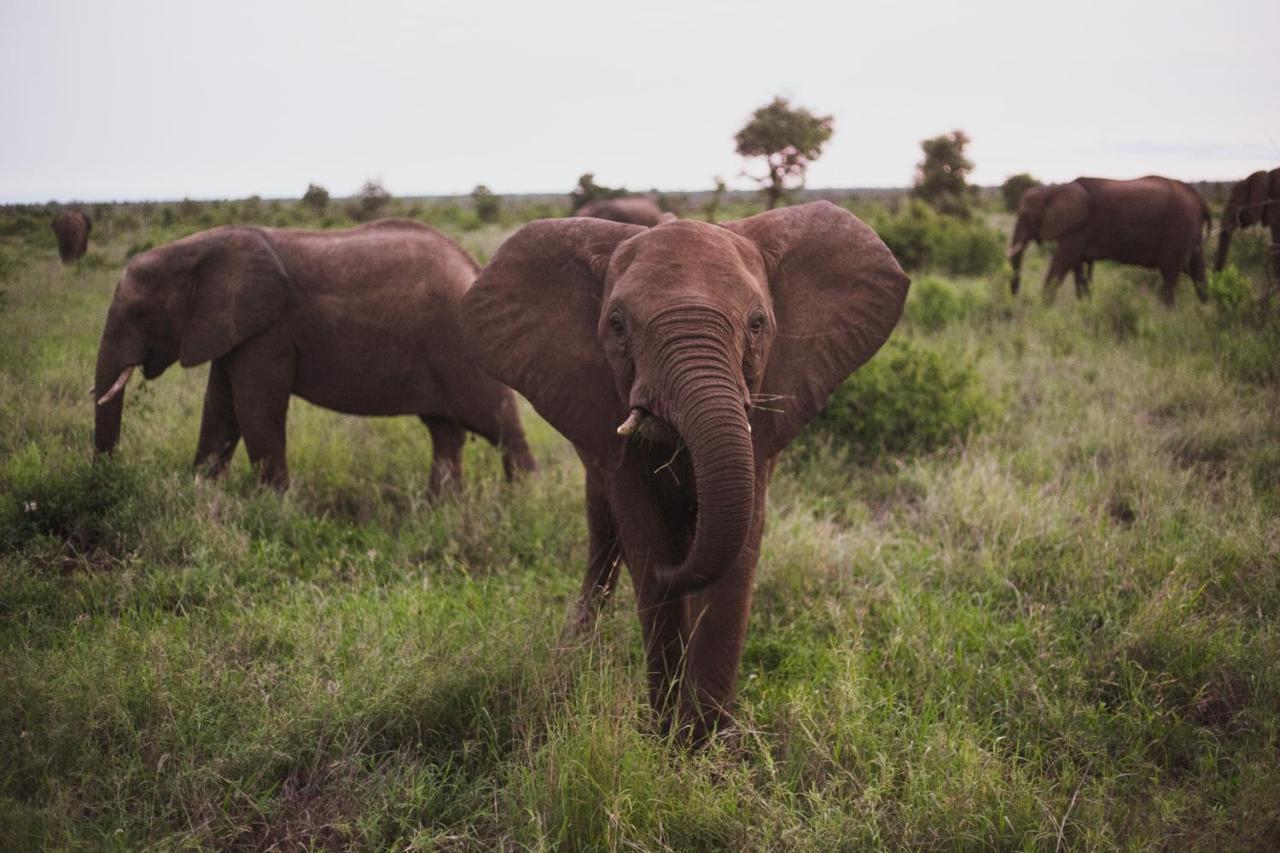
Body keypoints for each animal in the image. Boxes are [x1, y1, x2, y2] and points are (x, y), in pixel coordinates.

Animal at [93, 217, 535, 491]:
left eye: (140, 312)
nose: (107, 477)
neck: (200, 246)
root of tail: (474, 266)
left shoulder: (268, 329)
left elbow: (255, 409)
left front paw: (273, 508)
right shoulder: (233, 328)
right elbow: (220, 408)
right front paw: (199, 493)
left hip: (462, 348)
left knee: (499, 424)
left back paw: (522, 506)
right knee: (445, 432)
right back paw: (440, 511)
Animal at [460, 201, 911, 737]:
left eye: (757, 323)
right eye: (617, 327)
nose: (671, 572)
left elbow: (740, 544)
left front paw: (708, 744)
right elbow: (644, 534)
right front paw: (665, 737)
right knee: (603, 531)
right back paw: (574, 651)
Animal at [1008, 174, 1208, 303]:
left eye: (1025, 216)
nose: (1015, 297)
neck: (1054, 189)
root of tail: (1199, 199)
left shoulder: (1078, 227)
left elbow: (1062, 263)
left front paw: (1043, 311)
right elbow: (1078, 270)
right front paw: (1084, 307)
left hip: (1178, 228)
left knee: (1170, 276)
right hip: (1190, 233)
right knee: (1197, 272)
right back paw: (1204, 310)